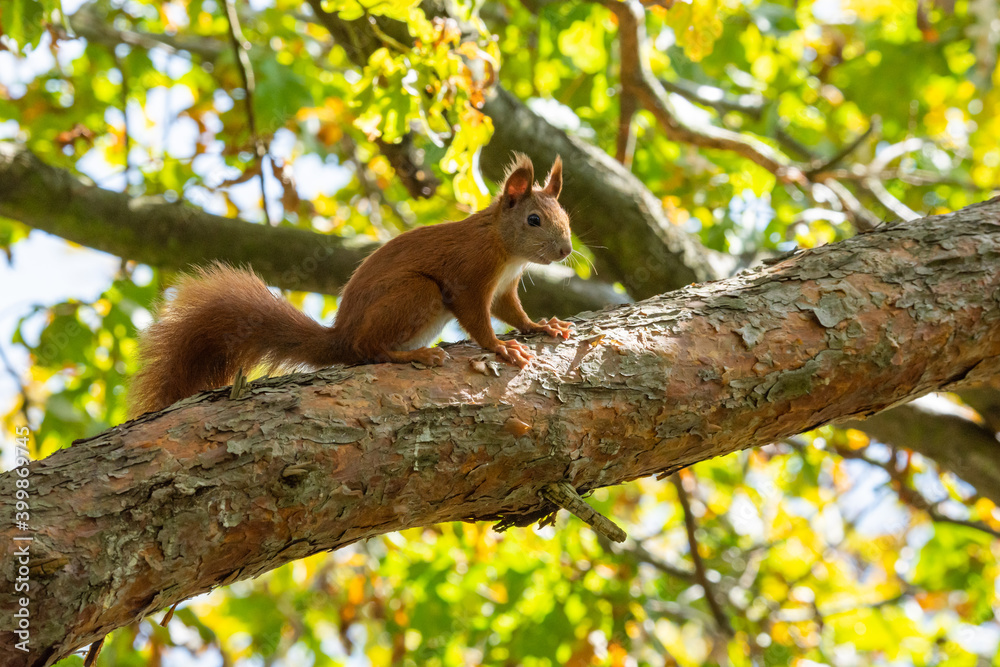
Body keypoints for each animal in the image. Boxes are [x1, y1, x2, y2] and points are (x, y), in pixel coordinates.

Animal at [129, 155, 576, 418]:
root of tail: (339, 337)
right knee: (366, 350)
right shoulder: (470, 276)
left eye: (566, 215)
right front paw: (501, 347)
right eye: (534, 220)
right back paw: (413, 356)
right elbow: (478, 320)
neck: (505, 248)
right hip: (417, 293)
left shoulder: (503, 287)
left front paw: (543, 326)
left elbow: (512, 312)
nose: (566, 250)